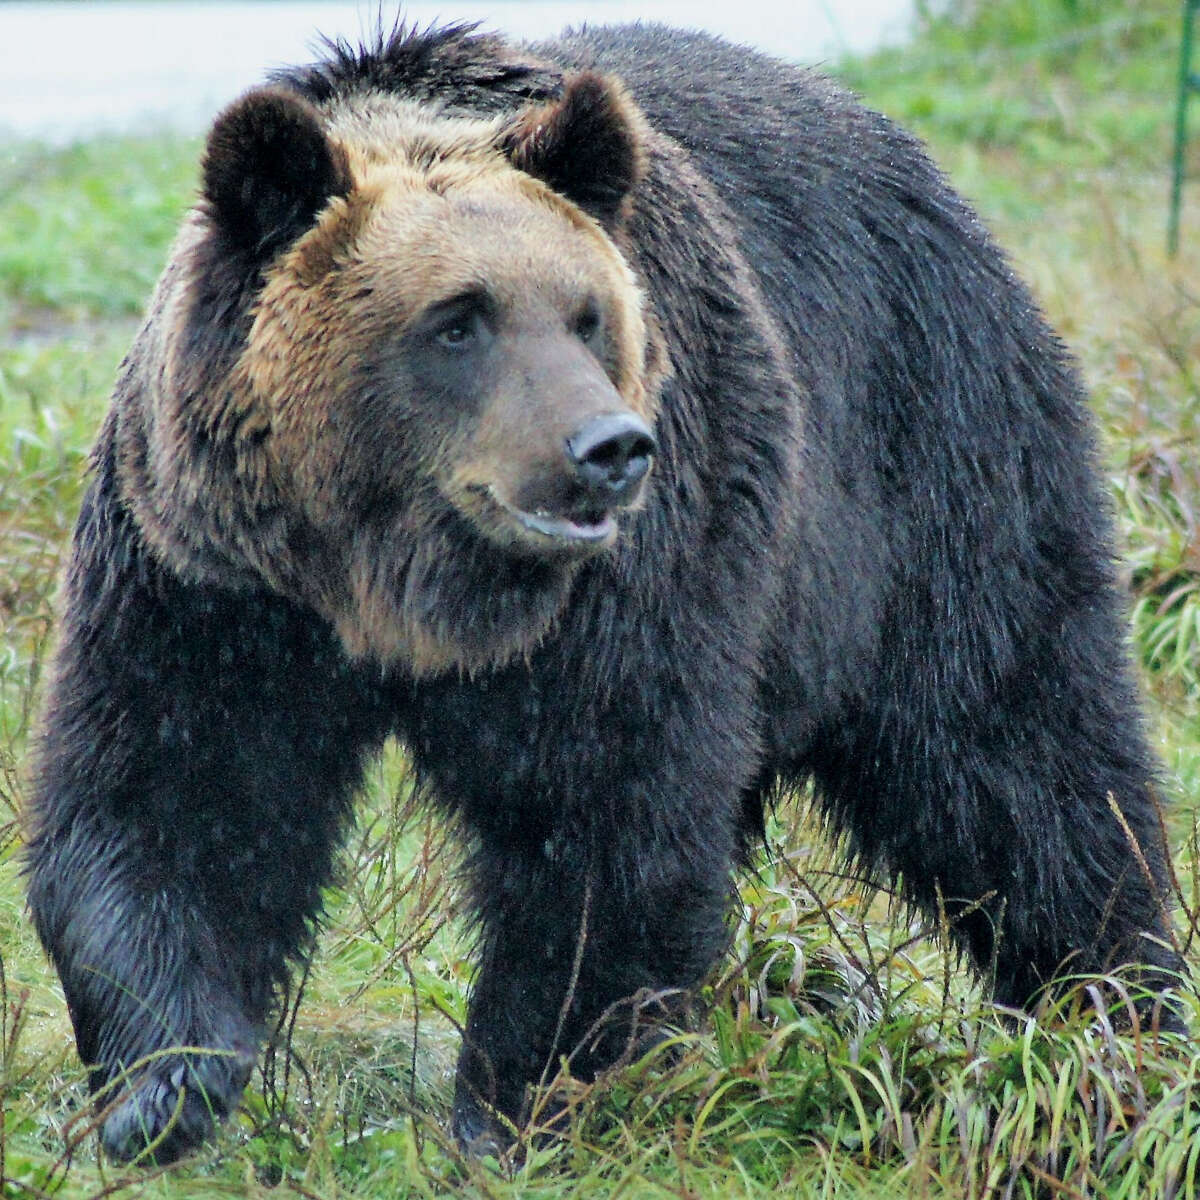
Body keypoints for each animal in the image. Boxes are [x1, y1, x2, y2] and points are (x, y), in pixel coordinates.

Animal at [25, 18, 1180, 1161]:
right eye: (458, 319)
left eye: (586, 315)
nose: (610, 448)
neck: (406, 590)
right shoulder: (213, 580)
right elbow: (176, 797)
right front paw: (164, 1091)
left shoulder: (633, 586)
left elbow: (603, 819)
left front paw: (516, 1105)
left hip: (933, 474)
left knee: (1020, 760)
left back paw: (1114, 1020)